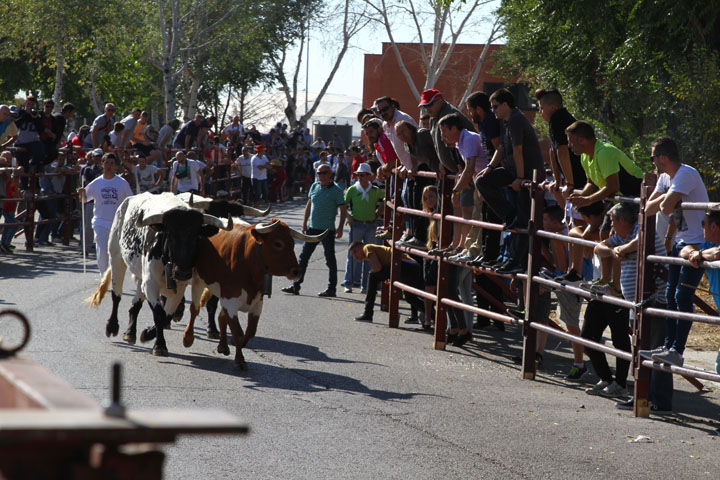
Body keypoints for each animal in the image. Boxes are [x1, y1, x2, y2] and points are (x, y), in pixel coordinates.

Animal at [183, 219, 326, 370]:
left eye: (293, 243)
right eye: (278, 243)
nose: (297, 271)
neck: (248, 262)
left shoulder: (257, 302)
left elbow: (250, 331)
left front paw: (237, 346)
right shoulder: (230, 300)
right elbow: (238, 332)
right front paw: (240, 360)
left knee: (221, 318)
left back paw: (223, 346)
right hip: (198, 281)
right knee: (194, 309)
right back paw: (188, 338)